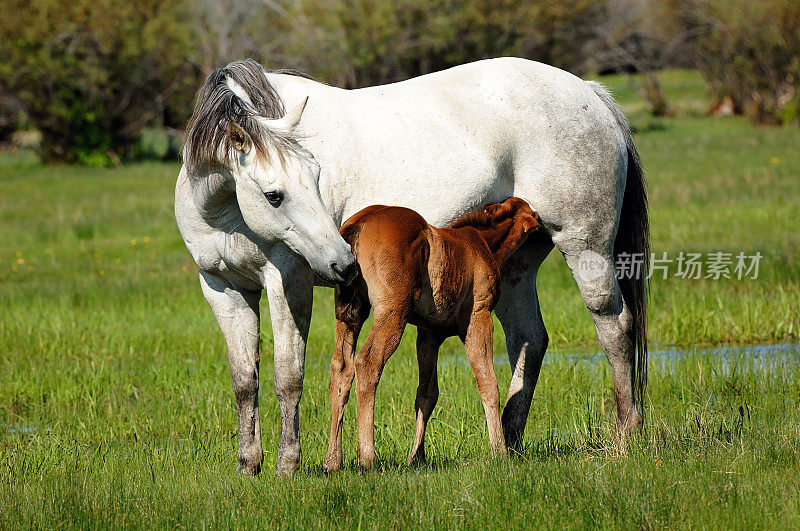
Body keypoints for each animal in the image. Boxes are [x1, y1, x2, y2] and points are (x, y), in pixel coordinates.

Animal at [322, 197, 540, 472]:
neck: (480, 242)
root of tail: (359, 223)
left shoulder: (428, 335)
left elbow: (427, 393)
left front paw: (417, 458)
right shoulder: (478, 317)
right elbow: (488, 383)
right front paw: (499, 452)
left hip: (350, 315)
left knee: (341, 369)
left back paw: (332, 461)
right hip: (393, 312)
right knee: (368, 363)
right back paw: (367, 458)